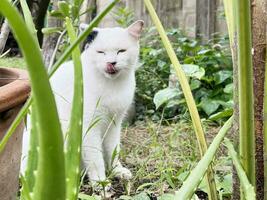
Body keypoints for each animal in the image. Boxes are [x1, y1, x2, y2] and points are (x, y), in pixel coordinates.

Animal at [21, 20, 144, 186]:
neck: (112, 86)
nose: (111, 62)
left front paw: (117, 171)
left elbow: (113, 150)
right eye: (101, 52)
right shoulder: (88, 125)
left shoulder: (114, 124)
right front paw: (100, 182)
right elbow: (95, 157)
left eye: (121, 51)